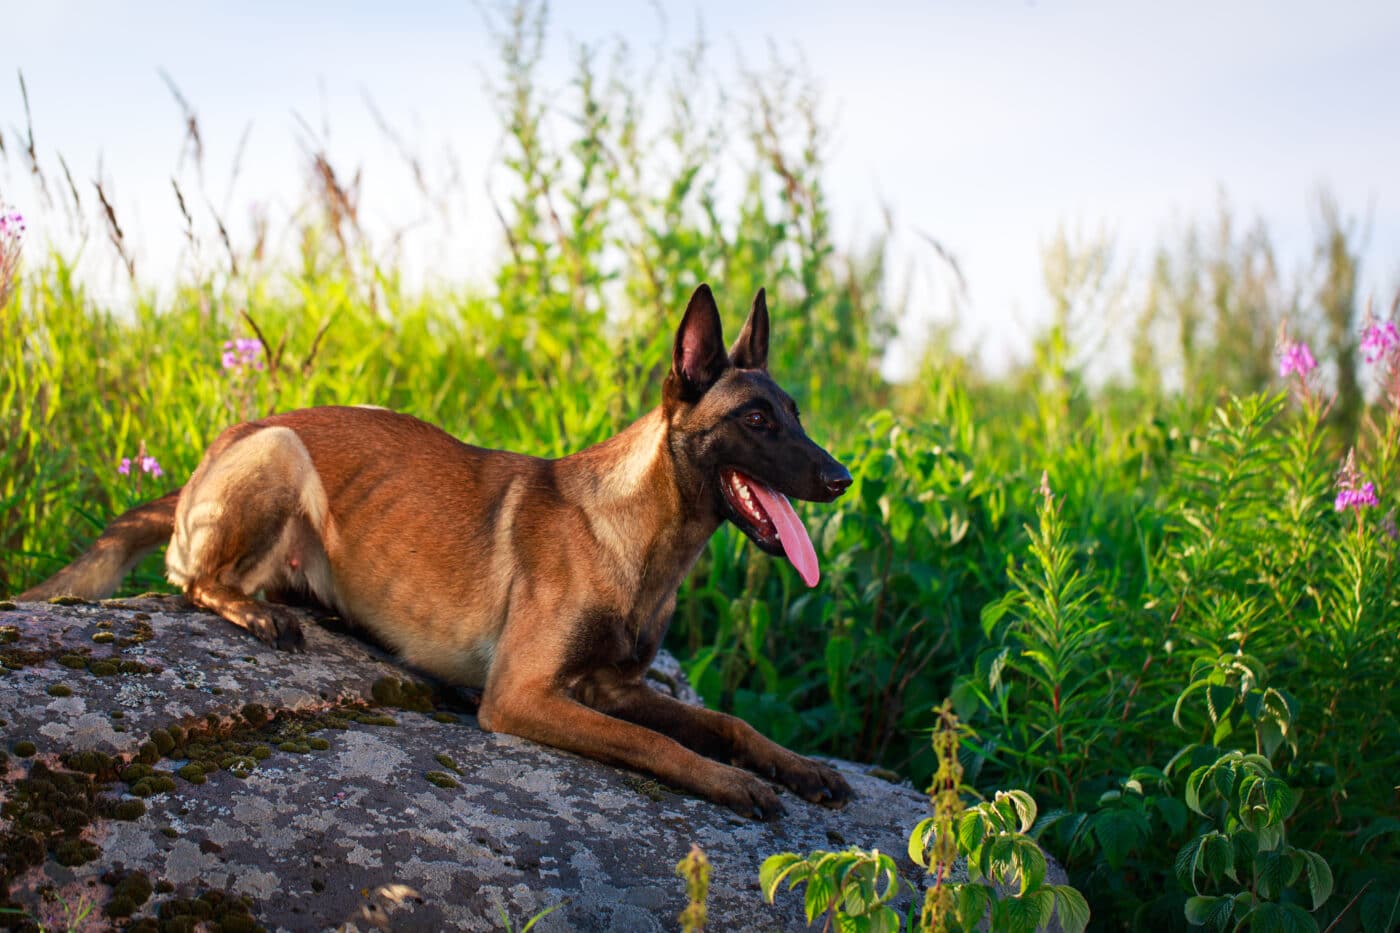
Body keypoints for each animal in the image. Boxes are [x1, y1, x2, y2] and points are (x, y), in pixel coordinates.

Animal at [19, 281, 851, 812]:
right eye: (756, 419)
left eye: (795, 412)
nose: (842, 477)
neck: (639, 539)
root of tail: (223, 440)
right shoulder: (522, 696)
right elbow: (657, 746)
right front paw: (735, 783)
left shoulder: (611, 687)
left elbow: (727, 724)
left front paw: (794, 764)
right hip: (282, 450)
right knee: (190, 576)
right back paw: (255, 612)